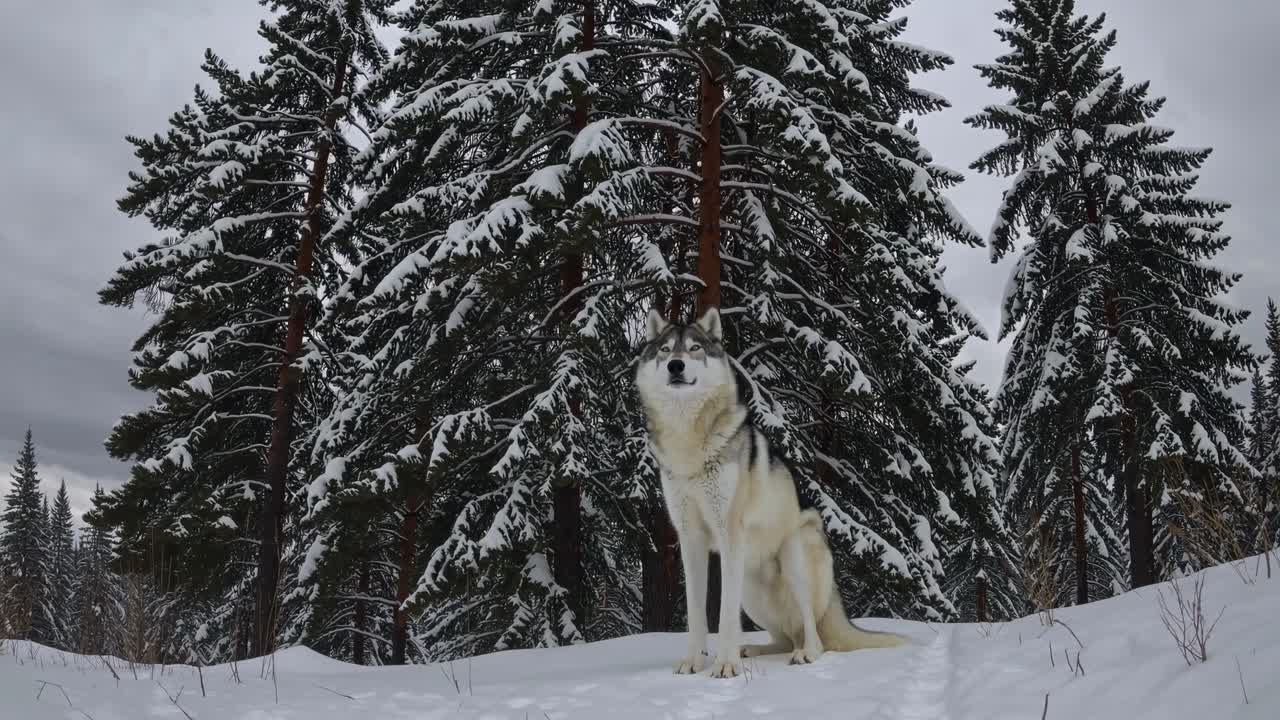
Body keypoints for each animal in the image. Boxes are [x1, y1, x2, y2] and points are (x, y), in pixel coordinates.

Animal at [635, 306, 907, 678]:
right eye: (665, 350)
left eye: (694, 349)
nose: (676, 365)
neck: (688, 442)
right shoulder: (690, 540)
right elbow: (696, 614)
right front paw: (694, 663)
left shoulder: (729, 535)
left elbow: (724, 616)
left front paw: (725, 666)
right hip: (751, 593)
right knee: (783, 637)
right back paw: (753, 650)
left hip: (793, 562)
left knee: (812, 635)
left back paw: (803, 654)